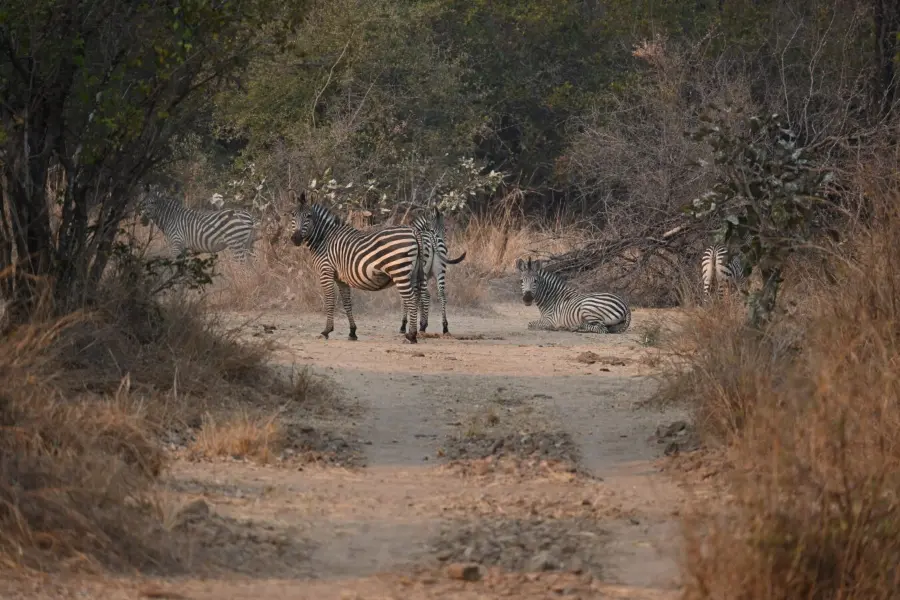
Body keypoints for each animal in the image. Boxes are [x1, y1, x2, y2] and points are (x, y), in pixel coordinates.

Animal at [290, 192, 428, 342]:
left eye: (309, 216)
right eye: (293, 215)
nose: (295, 238)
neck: (324, 239)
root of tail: (413, 231)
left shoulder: (326, 271)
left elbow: (330, 301)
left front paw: (327, 330)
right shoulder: (341, 278)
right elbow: (347, 303)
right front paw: (352, 332)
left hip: (400, 271)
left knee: (411, 299)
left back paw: (412, 335)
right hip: (413, 273)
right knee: (417, 297)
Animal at [400, 206, 472, 336]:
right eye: (445, 229)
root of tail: (432, 238)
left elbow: (408, 298)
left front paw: (405, 325)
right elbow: (418, 297)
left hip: (424, 271)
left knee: (425, 295)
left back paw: (422, 327)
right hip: (440, 271)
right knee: (441, 295)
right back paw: (445, 327)